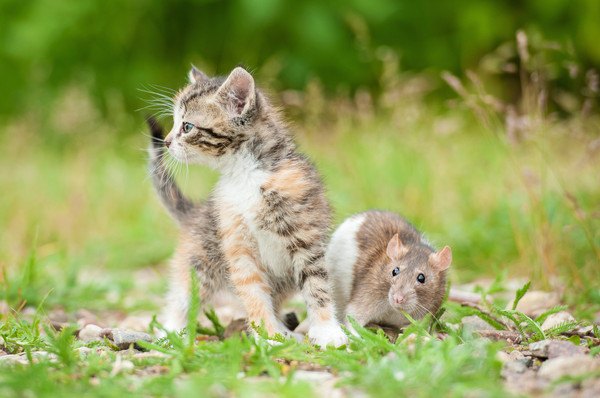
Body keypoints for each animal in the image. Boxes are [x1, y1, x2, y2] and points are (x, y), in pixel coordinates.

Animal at [146, 67, 346, 346]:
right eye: (175, 124)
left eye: (186, 126)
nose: (166, 142)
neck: (244, 174)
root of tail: (196, 213)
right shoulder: (238, 246)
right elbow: (253, 292)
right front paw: (268, 336)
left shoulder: (306, 236)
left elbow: (317, 284)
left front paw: (327, 331)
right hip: (200, 262)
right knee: (184, 298)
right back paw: (171, 331)